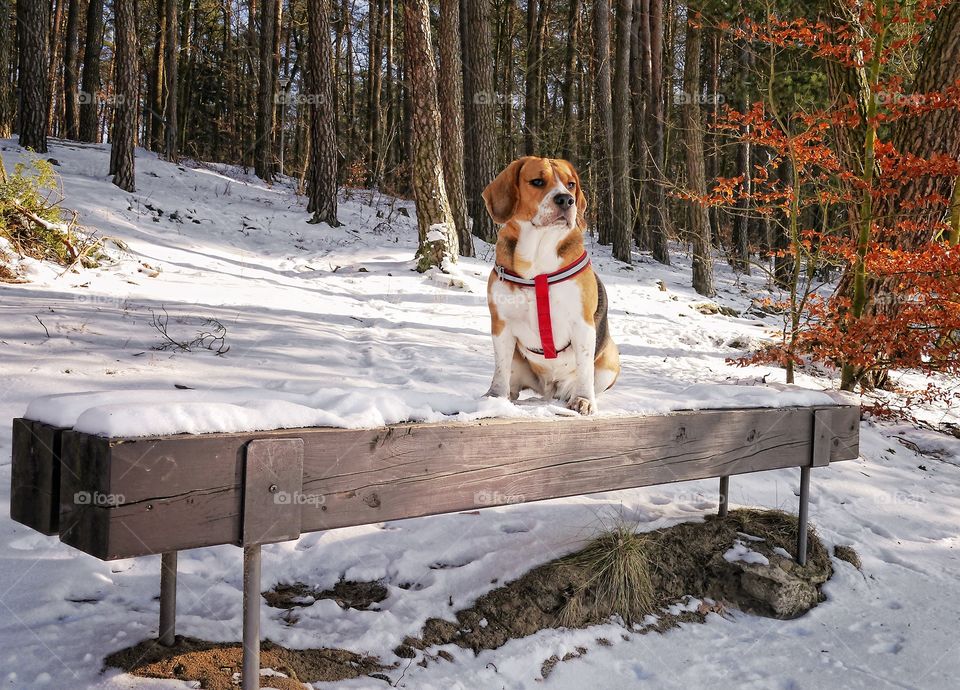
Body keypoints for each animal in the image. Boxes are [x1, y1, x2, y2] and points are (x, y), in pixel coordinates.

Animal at [480, 157, 624, 414]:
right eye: (537, 181)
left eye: (571, 184)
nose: (566, 199)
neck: (537, 254)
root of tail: (549, 389)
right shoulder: (501, 324)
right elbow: (500, 369)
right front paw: (495, 398)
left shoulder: (582, 324)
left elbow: (584, 369)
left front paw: (584, 400)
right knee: (512, 381)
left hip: (610, 360)